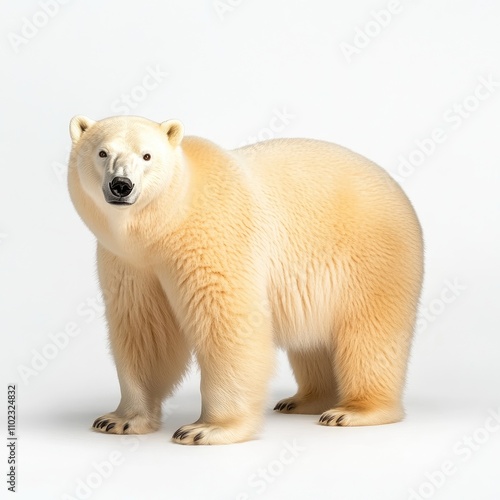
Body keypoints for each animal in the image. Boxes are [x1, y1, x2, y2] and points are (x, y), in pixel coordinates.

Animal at [68, 116, 424, 446]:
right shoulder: (129, 262)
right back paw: (304, 400)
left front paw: (206, 429)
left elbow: (226, 325)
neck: (165, 226)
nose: (121, 185)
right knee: (312, 342)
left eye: (147, 155)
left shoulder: (215, 238)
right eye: (102, 152)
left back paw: (352, 410)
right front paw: (119, 420)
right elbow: (144, 331)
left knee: (370, 335)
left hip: (372, 259)